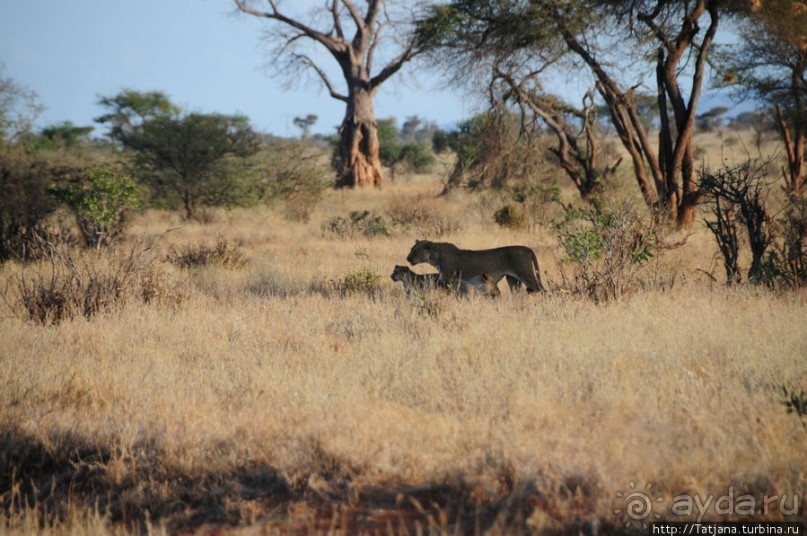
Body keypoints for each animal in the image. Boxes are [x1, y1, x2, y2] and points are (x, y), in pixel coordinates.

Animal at [408, 241, 548, 294]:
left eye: (415, 251)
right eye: (411, 249)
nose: (407, 258)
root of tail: (527, 248)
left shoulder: (447, 279)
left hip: (526, 275)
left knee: (543, 290)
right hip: (513, 280)